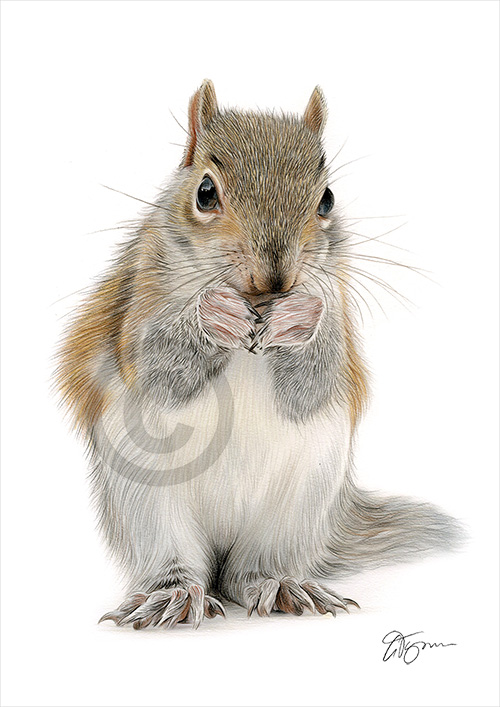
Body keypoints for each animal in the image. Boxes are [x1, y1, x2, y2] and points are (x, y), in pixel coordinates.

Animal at [56, 81, 462, 629]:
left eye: (327, 199)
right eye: (205, 193)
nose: (277, 278)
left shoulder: (335, 306)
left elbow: (316, 379)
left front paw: (300, 317)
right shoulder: (137, 299)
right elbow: (157, 364)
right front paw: (212, 314)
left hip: (298, 504)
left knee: (245, 573)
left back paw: (281, 585)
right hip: (144, 502)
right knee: (182, 563)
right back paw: (175, 595)